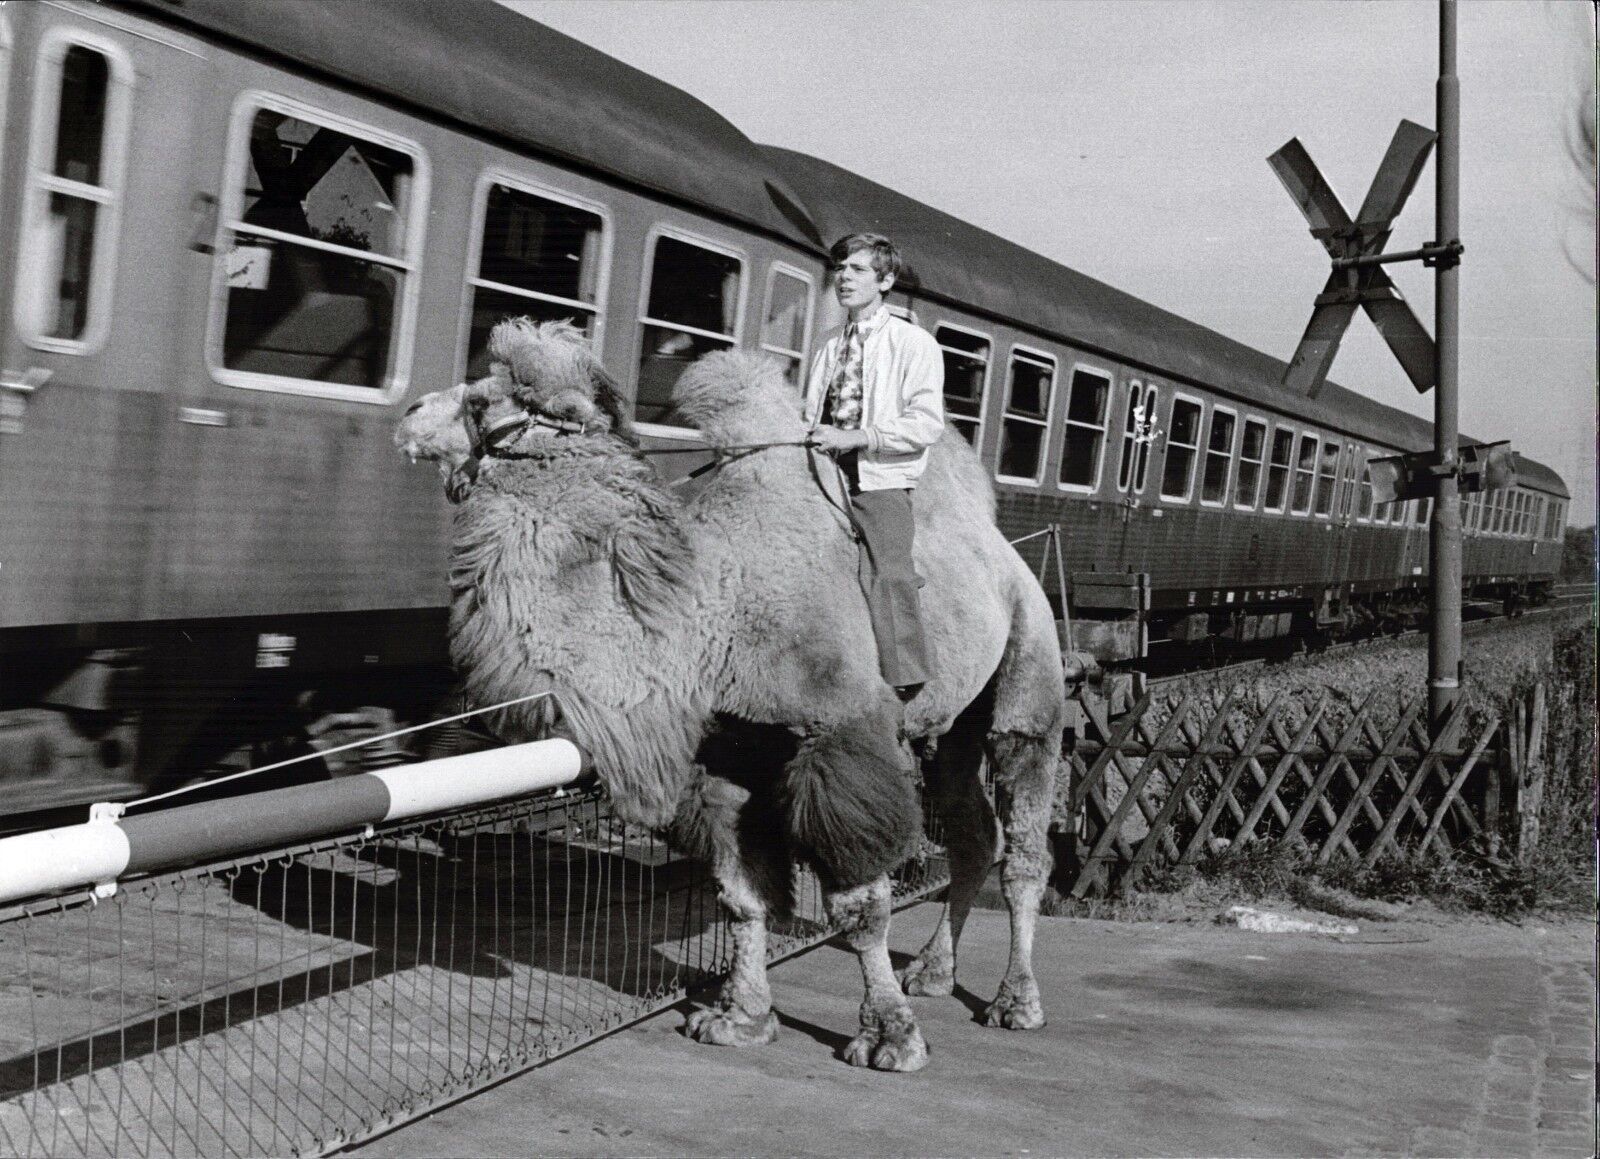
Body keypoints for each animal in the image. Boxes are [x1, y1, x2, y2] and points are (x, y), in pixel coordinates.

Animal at [390, 318, 1062, 1075]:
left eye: (482, 400)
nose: (411, 411)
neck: (715, 609)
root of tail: (1002, 548)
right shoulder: (726, 755)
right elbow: (742, 897)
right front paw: (741, 1018)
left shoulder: (843, 735)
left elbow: (859, 904)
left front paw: (891, 1036)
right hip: (947, 727)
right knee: (974, 832)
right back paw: (934, 971)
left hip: (1029, 666)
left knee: (1025, 838)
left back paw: (1015, 1001)